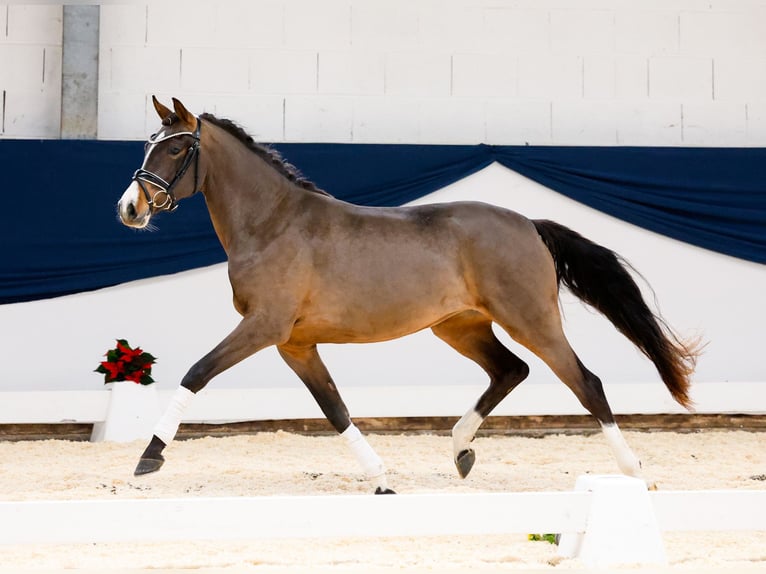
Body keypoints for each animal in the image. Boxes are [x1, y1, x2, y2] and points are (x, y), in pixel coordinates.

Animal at [117, 98, 700, 496]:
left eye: (175, 147)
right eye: (147, 144)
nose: (129, 209)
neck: (273, 224)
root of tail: (529, 225)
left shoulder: (264, 327)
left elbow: (196, 373)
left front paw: (149, 458)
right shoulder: (294, 344)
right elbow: (334, 407)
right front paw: (380, 478)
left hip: (531, 321)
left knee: (586, 383)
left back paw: (634, 472)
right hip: (460, 325)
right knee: (510, 370)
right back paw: (461, 450)